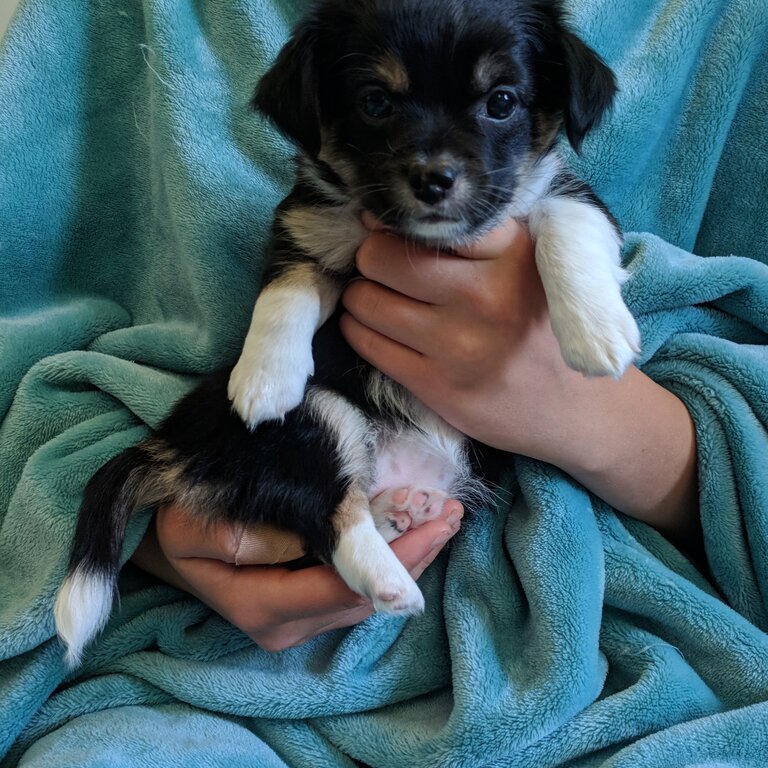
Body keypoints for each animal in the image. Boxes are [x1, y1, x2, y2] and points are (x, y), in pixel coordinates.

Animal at [54, 0, 640, 664]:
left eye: (502, 101)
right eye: (375, 102)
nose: (433, 179)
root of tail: (179, 441)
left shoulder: (564, 195)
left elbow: (570, 229)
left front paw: (595, 333)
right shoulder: (310, 227)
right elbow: (284, 293)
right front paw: (263, 380)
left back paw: (401, 512)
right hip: (318, 422)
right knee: (328, 519)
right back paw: (392, 581)